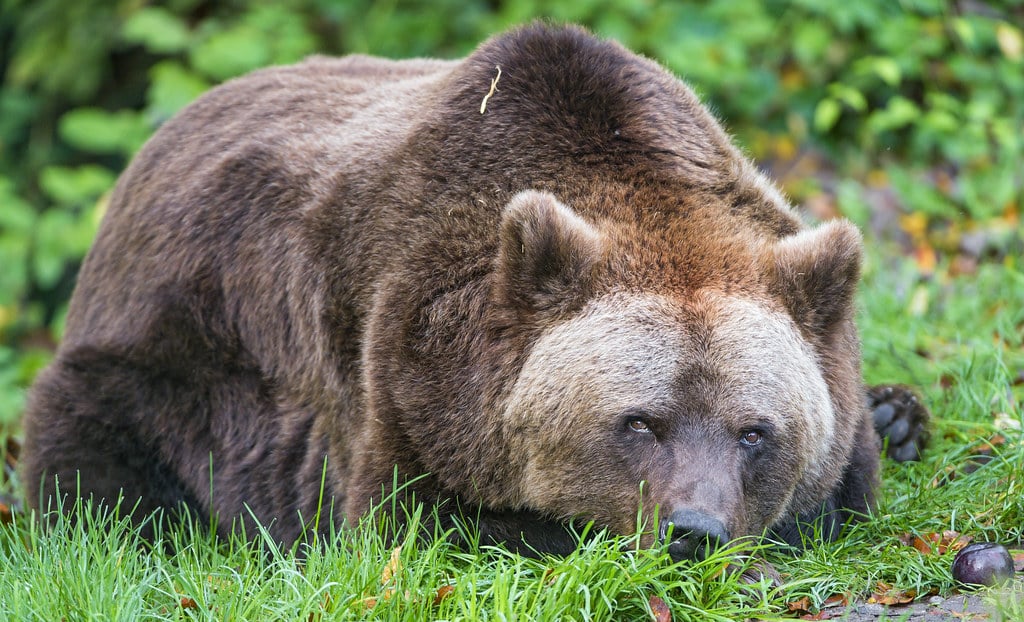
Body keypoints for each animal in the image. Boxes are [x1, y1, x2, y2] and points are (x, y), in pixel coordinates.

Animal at [21, 23, 926, 560]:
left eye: (753, 431)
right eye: (640, 421)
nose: (692, 530)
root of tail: (157, 140)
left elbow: (846, 478)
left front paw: (888, 418)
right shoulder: (405, 358)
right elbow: (422, 521)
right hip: (165, 359)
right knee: (94, 470)